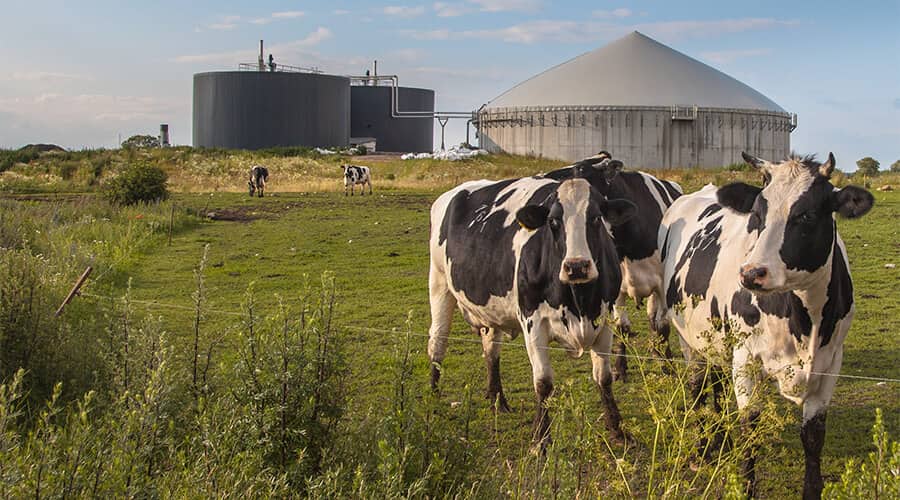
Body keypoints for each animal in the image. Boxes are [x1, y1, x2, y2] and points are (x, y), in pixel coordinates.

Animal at [428, 173, 632, 446]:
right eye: (553, 221)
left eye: (596, 218)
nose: (577, 266)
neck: (579, 301)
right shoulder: (533, 323)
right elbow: (543, 382)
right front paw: (540, 439)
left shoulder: (605, 319)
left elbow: (604, 378)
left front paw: (617, 430)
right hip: (439, 283)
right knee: (437, 342)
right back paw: (433, 396)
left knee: (491, 351)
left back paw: (497, 400)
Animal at [656, 153, 876, 500]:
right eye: (758, 214)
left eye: (806, 215)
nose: (751, 273)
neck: (805, 321)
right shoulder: (746, 358)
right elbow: (750, 428)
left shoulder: (831, 362)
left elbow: (813, 436)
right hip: (688, 338)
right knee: (697, 387)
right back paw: (702, 449)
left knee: (716, 383)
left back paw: (720, 439)